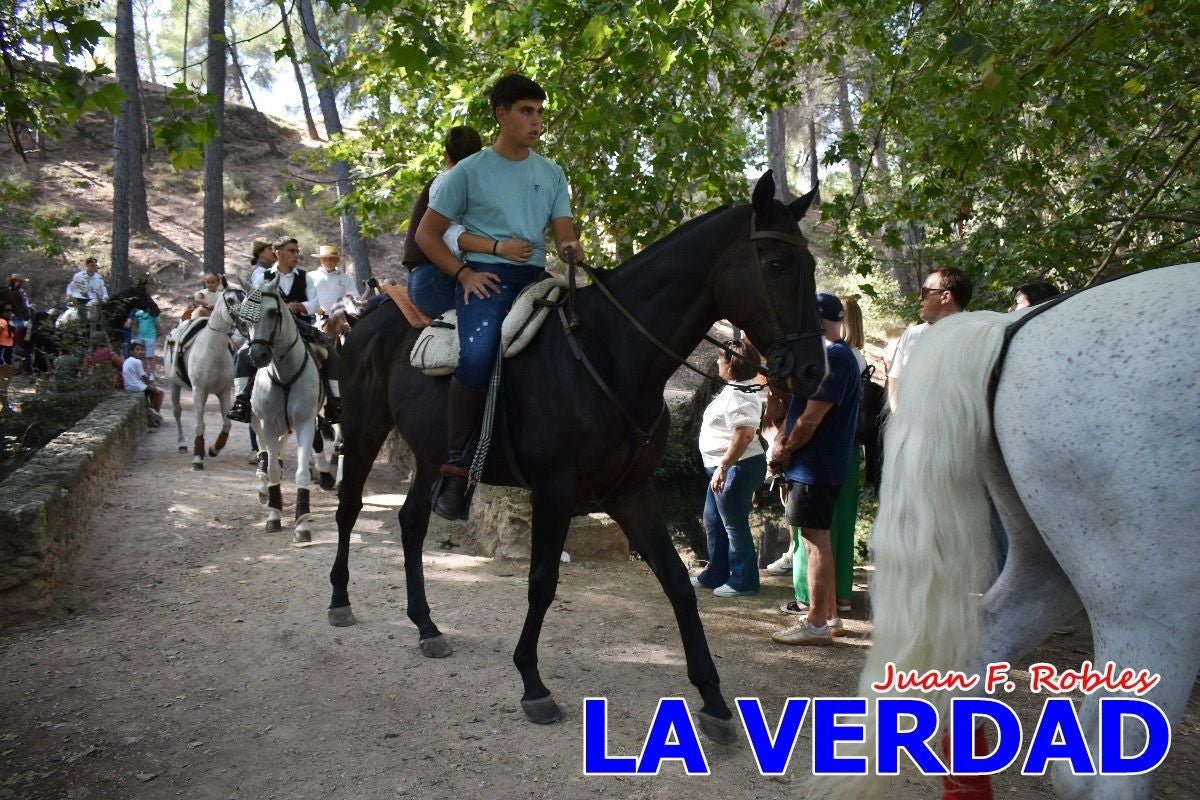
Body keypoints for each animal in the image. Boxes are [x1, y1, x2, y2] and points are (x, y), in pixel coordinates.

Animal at [164, 284, 242, 469]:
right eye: (230, 300)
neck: (213, 348)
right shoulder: (198, 391)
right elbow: (200, 424)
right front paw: (198, 457)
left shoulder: (223, 392)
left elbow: (227, 424)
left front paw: (214, 448)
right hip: (173, 385)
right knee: (177, 411)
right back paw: (182, 444)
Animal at [242, 276, 327, 543]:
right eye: (244, 317)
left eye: (273, 312)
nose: (257, 356)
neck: (284, 373)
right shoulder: (267, 423)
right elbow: (271, 470)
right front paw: (273, 516)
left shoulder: (305, 423)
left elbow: (301, 472)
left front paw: (303, 525)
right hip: (257, 421)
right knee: (264, 452)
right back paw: (263, 488)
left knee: (279, 449)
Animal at [329, 170, 827, 741]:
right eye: (777, 264)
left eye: (811, 266)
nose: (813, 371)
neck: (612, 356)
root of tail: (365, 320)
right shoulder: (555, 491)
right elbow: (542, 582)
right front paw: (532, 683)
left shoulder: (632, 492)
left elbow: (677, 583)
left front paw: (714, 699)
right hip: (364, 429)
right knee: (348, 508)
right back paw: (340, 601)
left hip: (432, 456)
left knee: (412, 523)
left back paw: (427, 625)